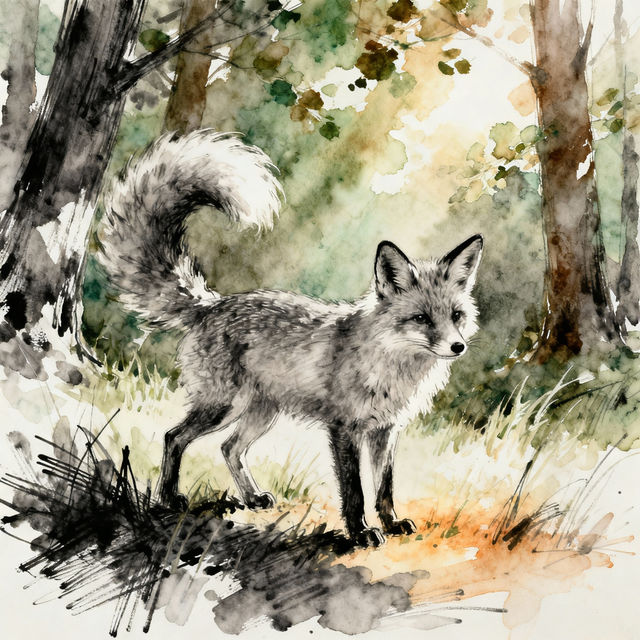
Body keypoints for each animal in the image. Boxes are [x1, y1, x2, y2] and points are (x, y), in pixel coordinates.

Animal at [100, 129, 482, 547]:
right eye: (422, 319)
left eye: (456, 316)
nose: (458, 347)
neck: (390, 367)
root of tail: (212, 305)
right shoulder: (344, 429)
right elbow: (354, 490)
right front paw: (360, 532)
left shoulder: (385, 430)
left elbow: (385, 486)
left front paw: (392, 523)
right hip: (223, 406)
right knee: (174, 437)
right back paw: (169, 499)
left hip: (261, 413)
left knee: (229, 447)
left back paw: (251, 497)